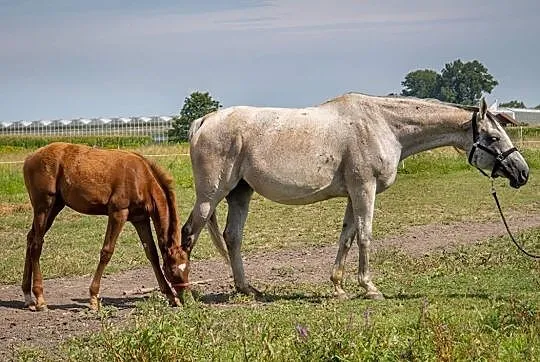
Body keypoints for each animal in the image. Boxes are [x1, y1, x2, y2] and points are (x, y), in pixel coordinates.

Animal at [180, 93, 528, 300]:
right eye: (493, 137)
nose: (522, 173)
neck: (382, 124)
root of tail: (203, 121)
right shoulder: (364, 189)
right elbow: (365, 236)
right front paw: (369, 287)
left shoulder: (353, 193)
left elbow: (346, 237)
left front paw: (338, 287)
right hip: (211, 195)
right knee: (188, 233)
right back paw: (182, 295)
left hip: (240, 192)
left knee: (232, 237)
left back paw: (247, 289)